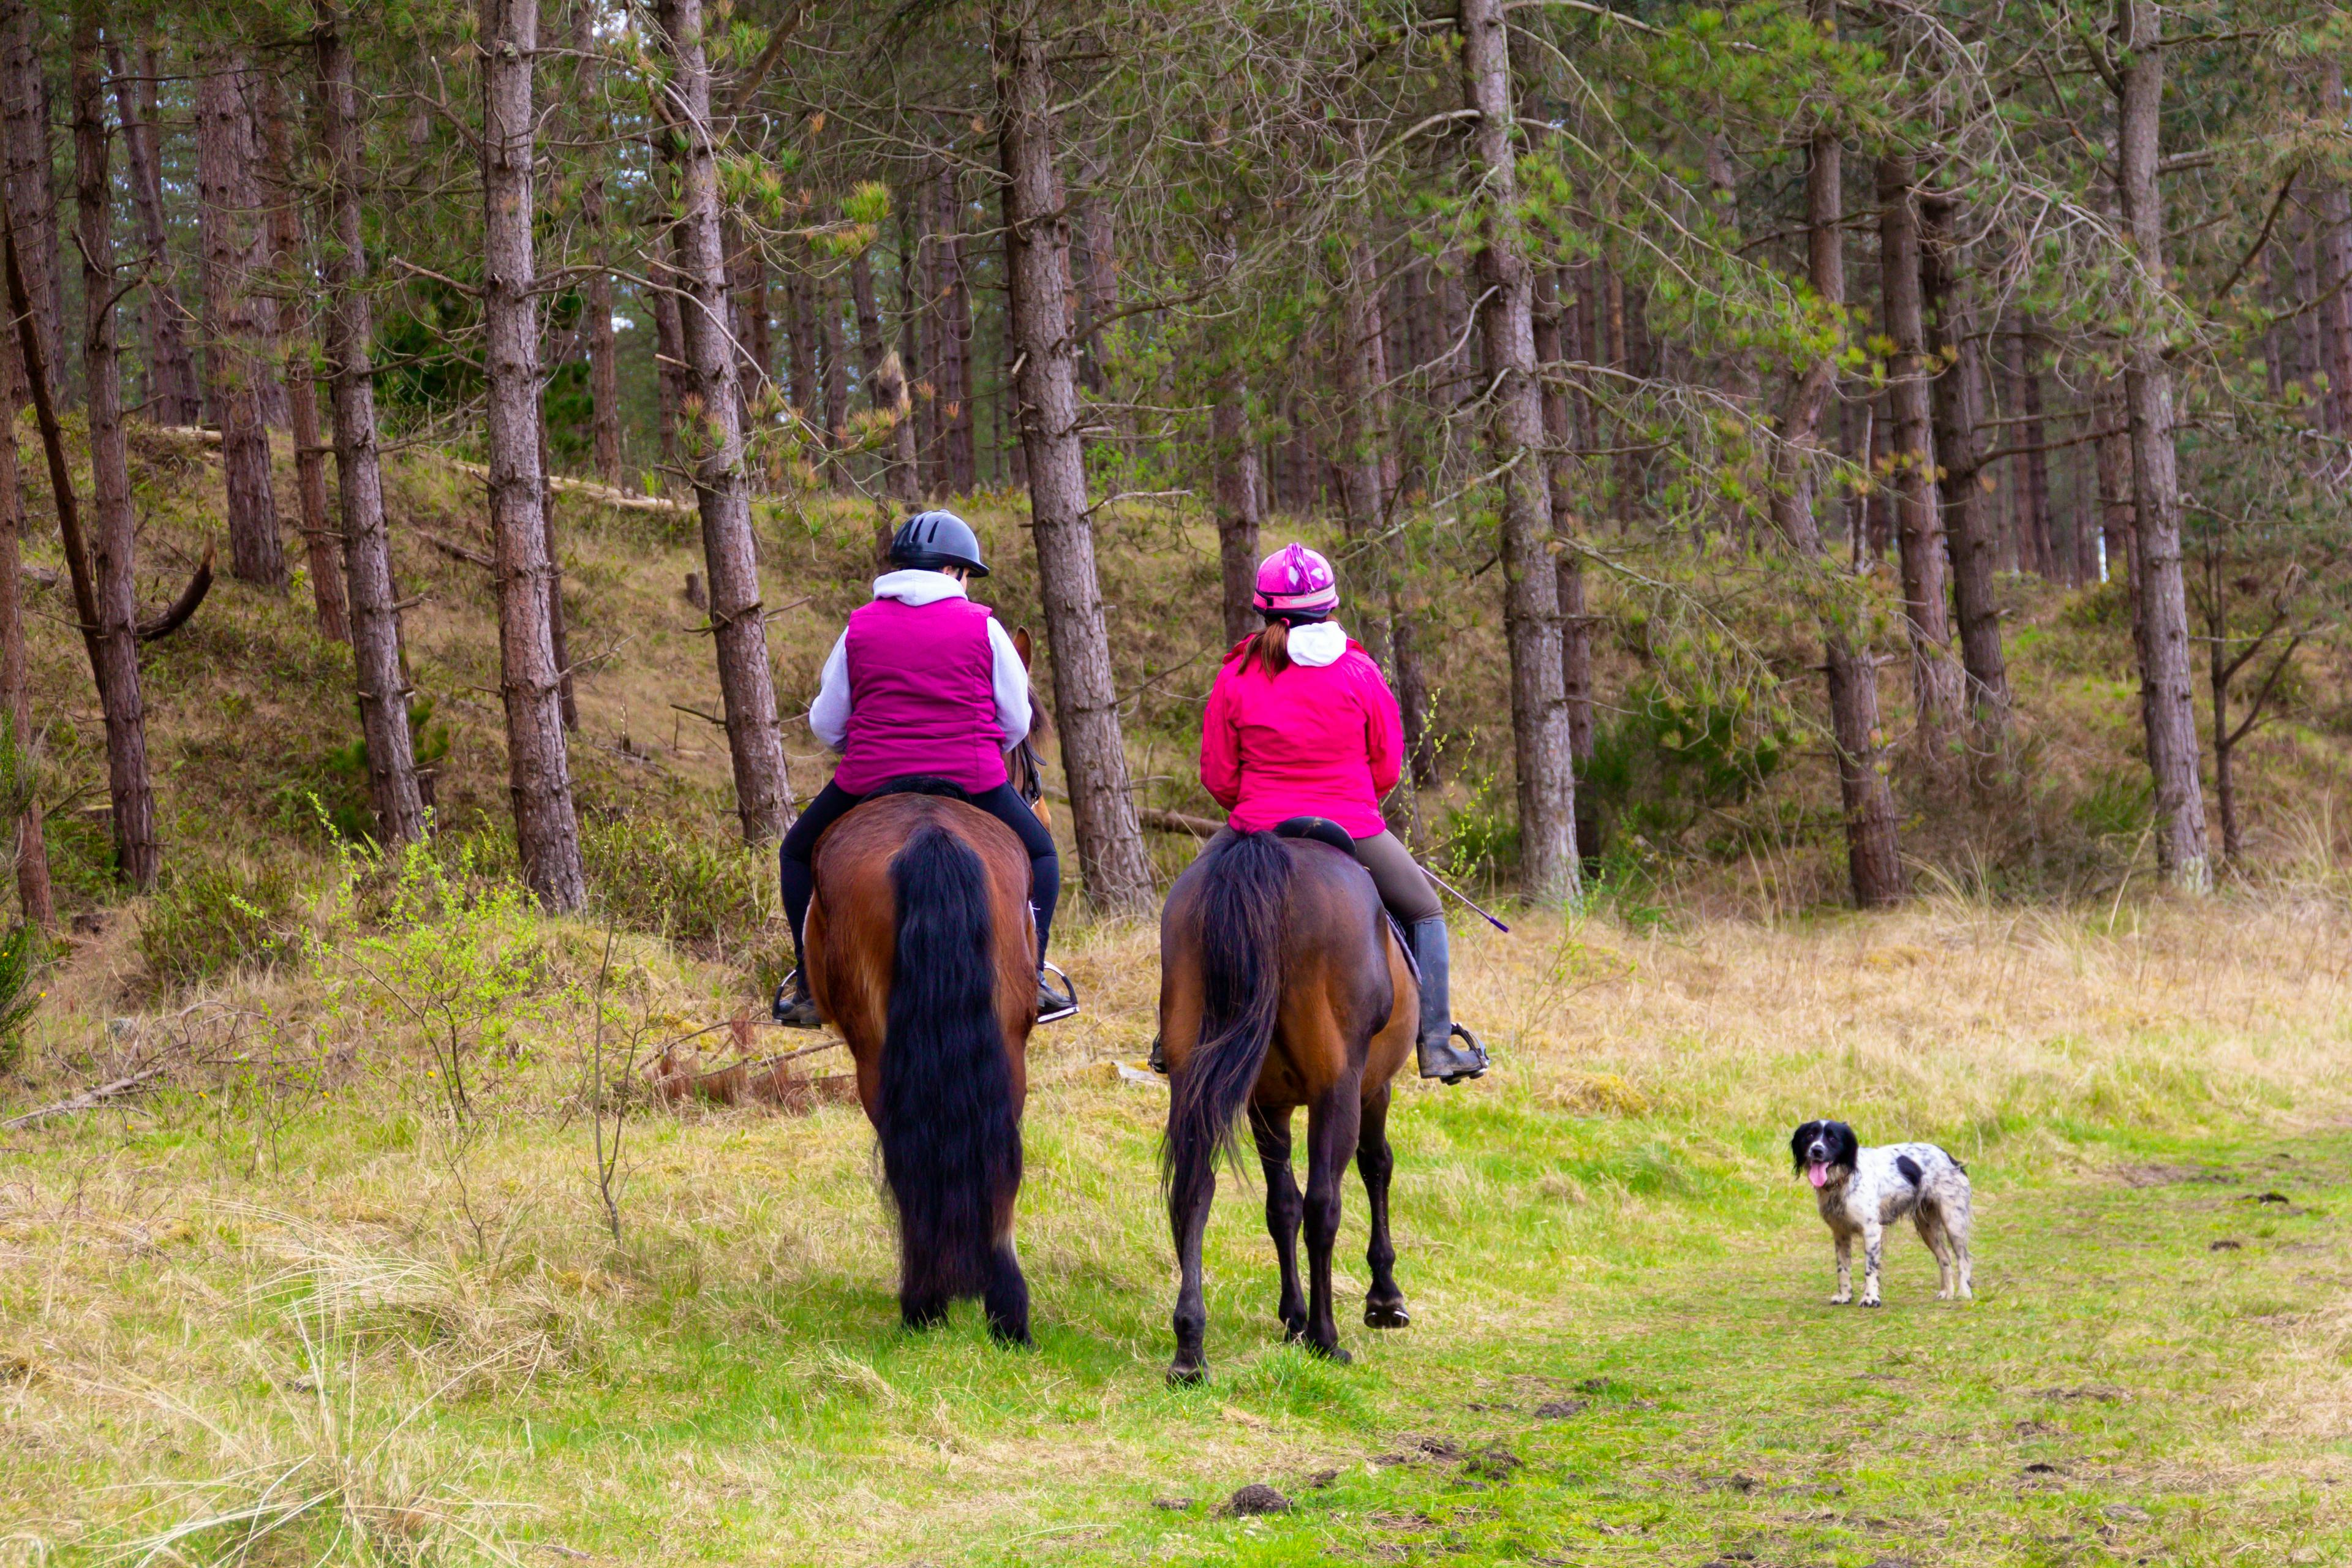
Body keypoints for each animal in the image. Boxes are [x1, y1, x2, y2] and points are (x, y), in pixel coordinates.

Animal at [803, 781, 1040, 1343]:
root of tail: (931, 834)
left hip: (874, 1052)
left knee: (904, 1154)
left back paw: (924, 1303)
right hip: (1006, 1041)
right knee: (1001, 1160)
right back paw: (1005, 1314)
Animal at [1158, 823, 1417, 1383]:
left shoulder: (1266, 1104)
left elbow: (1281, 1207)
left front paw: (1292, 1317)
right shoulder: (1372, 1087)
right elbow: (1376, 1166)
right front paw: (1384, 1299)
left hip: (1195, 1078)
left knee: (1195, 1190)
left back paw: (1190, 1349)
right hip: (1337, 1090)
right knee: (1325, 1202)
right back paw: (1326, 1338)